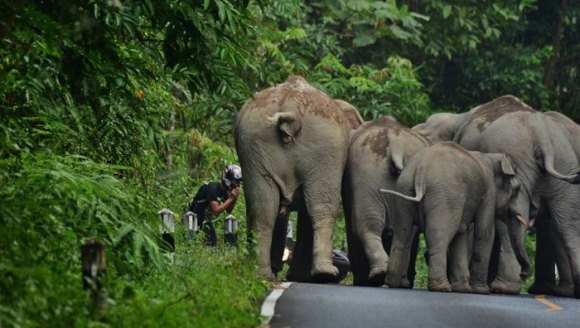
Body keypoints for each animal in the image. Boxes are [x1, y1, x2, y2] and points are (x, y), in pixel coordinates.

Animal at [233, 75, 356, 282]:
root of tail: (291, 110)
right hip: (324, 152)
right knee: (321, 207)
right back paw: (321, 274)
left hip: (255, 147)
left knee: (264, 206)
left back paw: (263, 273)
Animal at [380, 142, 520, 294]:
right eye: (517, 190)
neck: (492, 157)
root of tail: (421, 168)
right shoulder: (489, 193)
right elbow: (484, 232)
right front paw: (481, 291)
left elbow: (461, 232)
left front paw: (463, 289)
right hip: (444, 196)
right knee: (439, 235)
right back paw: (441, 288)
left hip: (404, 187)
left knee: (402, 232)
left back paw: (393, 283)